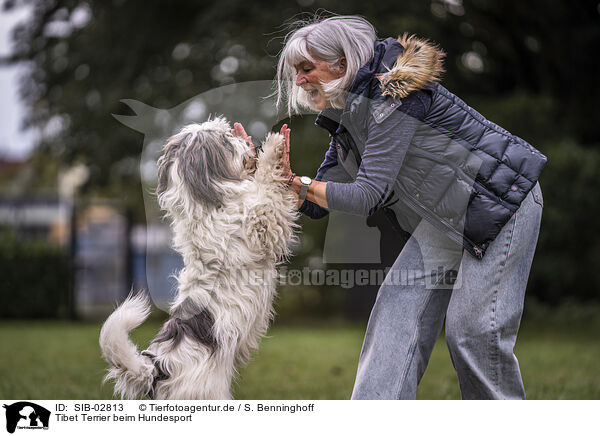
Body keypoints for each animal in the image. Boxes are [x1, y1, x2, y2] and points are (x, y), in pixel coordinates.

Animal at [99, 117, 298, 400]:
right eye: (226, 140)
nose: (245, 140)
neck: (207, 204)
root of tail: (156, 370)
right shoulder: (262, 221)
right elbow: (266, 185)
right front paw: (273, 147)